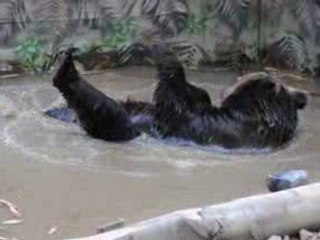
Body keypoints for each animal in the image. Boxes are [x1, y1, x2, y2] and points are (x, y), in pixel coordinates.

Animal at [47, 48, 308, 150]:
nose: (267, 75)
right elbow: (197, 97)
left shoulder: (223, 127)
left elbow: (175, 104)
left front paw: (169, 62)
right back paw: (54, 107)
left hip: (119, 127)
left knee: (101, 108)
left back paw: (65, 70)